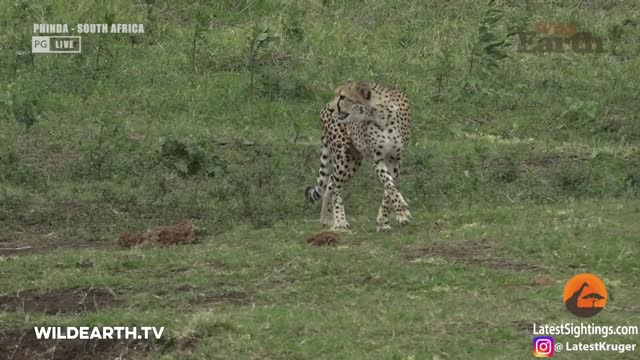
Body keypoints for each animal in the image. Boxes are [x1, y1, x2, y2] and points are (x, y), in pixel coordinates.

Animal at [306, 80, 416, 232]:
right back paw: (339, 221)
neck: (381, 115)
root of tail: (324, 107)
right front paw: (402, 210)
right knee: (336, 187)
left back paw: (326, 219)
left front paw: (383, 221)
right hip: (344, 158)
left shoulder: (395, 159)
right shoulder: (378, 158)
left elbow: (389, 190)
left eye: (343, 97)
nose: (332, 109)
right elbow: (389, 185)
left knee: (331, 183)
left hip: (353, 161)